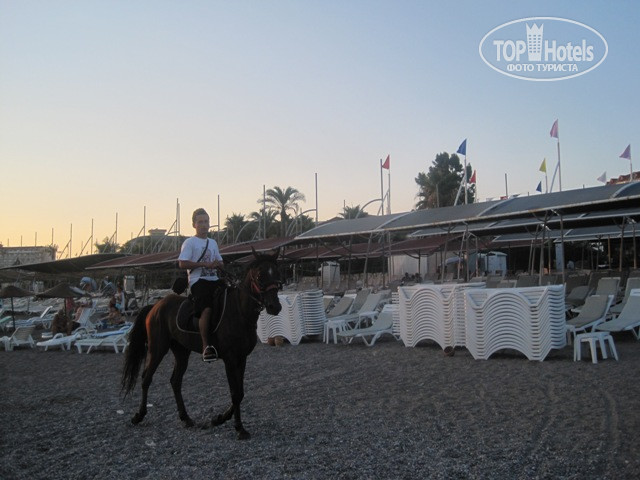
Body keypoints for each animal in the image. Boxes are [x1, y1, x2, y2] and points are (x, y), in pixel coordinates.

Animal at [121, 248, 282, 440]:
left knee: (175, 381)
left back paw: (186, 418)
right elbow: (235, 393)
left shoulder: (242, 358)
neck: (239, 312)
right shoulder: (230, 359)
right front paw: (239, 428)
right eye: (259, 276)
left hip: (181, 351)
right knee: (146, 378)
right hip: (157, 348)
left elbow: (240, 393)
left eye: (277, 274)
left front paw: (219, 419)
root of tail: (155, 306)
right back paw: (139, 415)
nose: (274, 307)